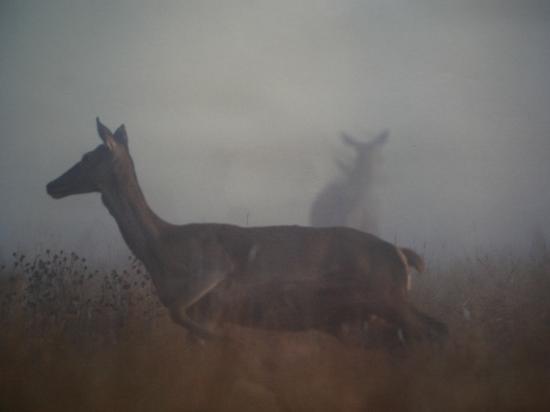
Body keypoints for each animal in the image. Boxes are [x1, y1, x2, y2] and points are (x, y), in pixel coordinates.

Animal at [45, 119, 446, 344]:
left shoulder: (212, 279)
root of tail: (403, 256)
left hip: (386, 299)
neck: (161, 249)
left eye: (86, 156)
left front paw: (222, 341)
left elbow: (179, 313)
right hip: (366, 317)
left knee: (432, 330)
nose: (51, 185)